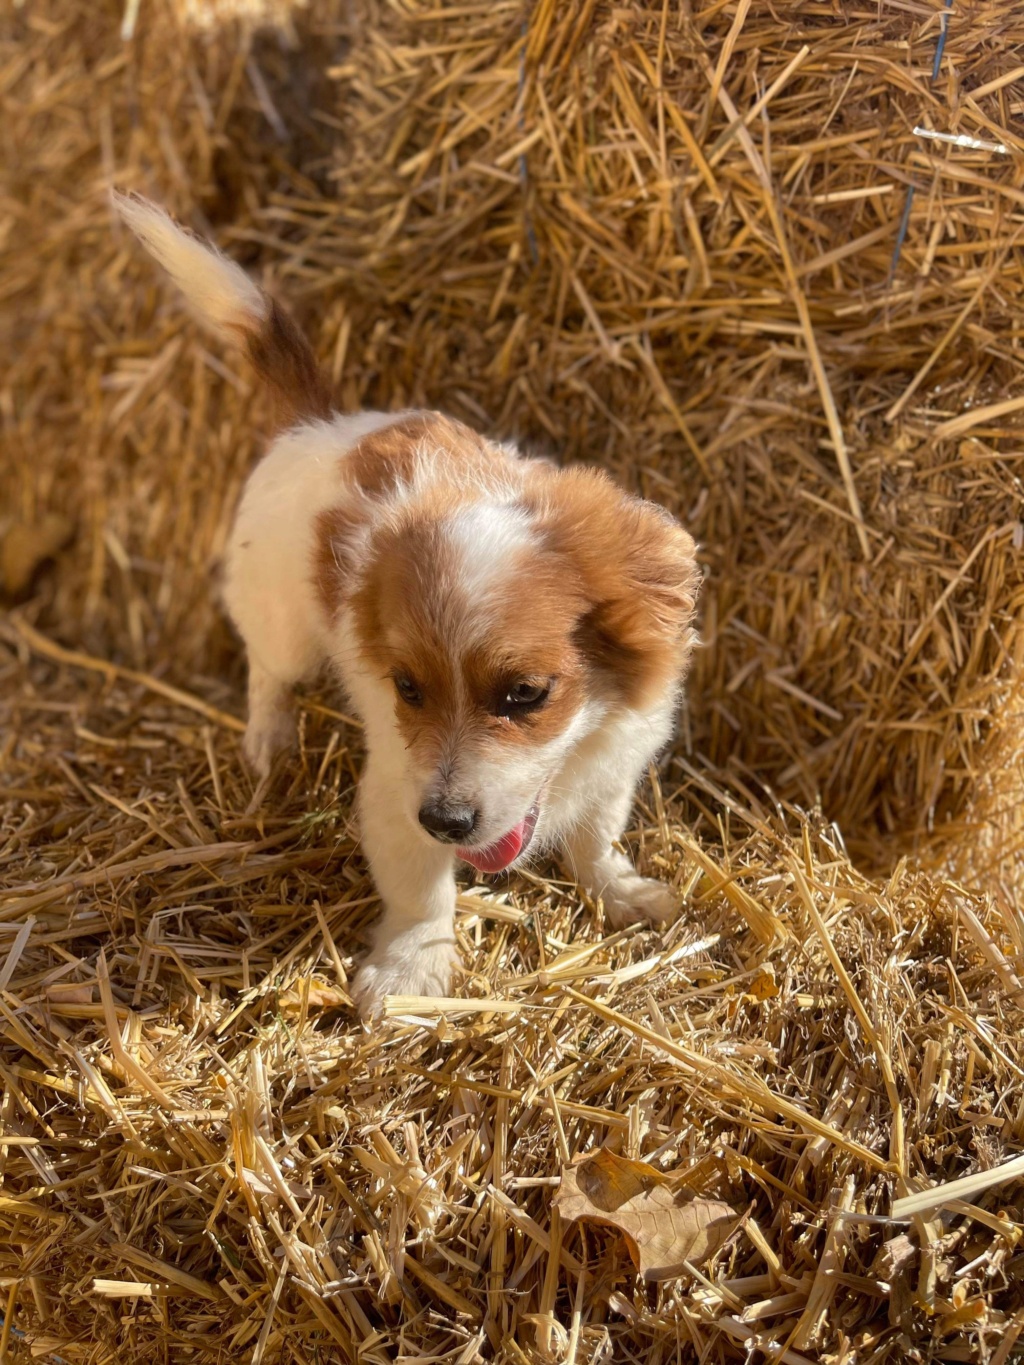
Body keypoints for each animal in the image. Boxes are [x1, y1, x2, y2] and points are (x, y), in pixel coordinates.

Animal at [114, 197, 704, 1021]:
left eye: (526, 694)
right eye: (407, 689)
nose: (448, 821)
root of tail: (321, 424)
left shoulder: (617, 761)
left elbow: (596, 839)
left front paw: (624, 892)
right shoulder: (397, 790)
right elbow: (423, 893)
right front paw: (410, 973)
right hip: (282, 624)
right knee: (268, 674)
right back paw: (268, 745)